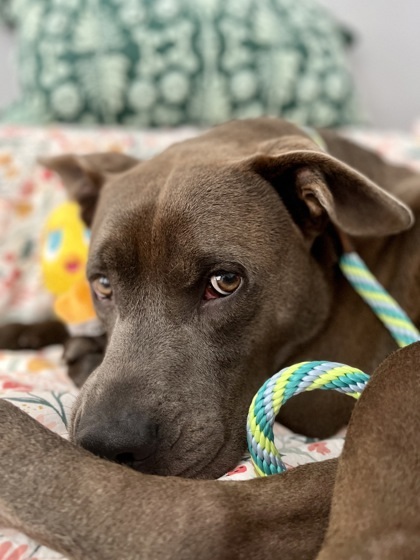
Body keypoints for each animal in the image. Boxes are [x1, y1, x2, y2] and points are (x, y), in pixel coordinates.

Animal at [0, 117, 418, 482]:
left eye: (225, 281)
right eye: (103, 285)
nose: (106, 443)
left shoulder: (319, 408)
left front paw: (84, 352)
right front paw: (21, 331)